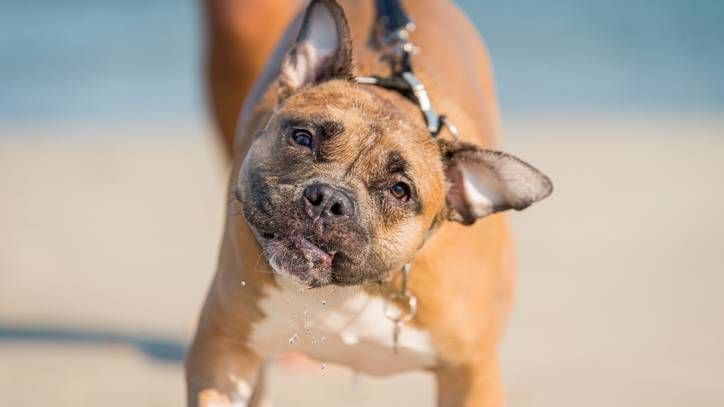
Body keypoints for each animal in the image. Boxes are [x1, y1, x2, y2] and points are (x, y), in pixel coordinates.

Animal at [185, 1, 548, 406]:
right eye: (302, 138)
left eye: (400, 191)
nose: (328, 199)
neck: (344, 292)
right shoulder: (223, 349)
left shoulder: (471, 373)